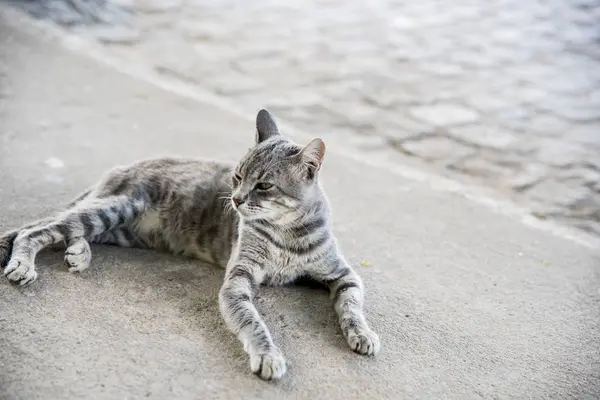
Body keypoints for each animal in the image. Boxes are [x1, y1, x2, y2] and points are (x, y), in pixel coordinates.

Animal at [0, 109, 382, 382]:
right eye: (238, 176)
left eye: (264, 186)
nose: (237, 200)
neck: (287, 233)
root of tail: (120, 168)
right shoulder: (237, 281)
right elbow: (254, 322)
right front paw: (268, 355)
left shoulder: (343, 274)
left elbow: (352, 306)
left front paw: (362, 333)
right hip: (115, 207)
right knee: (37, 229)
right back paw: (24, 263)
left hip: (118, 227)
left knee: (61, 228)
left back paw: (78, 252)